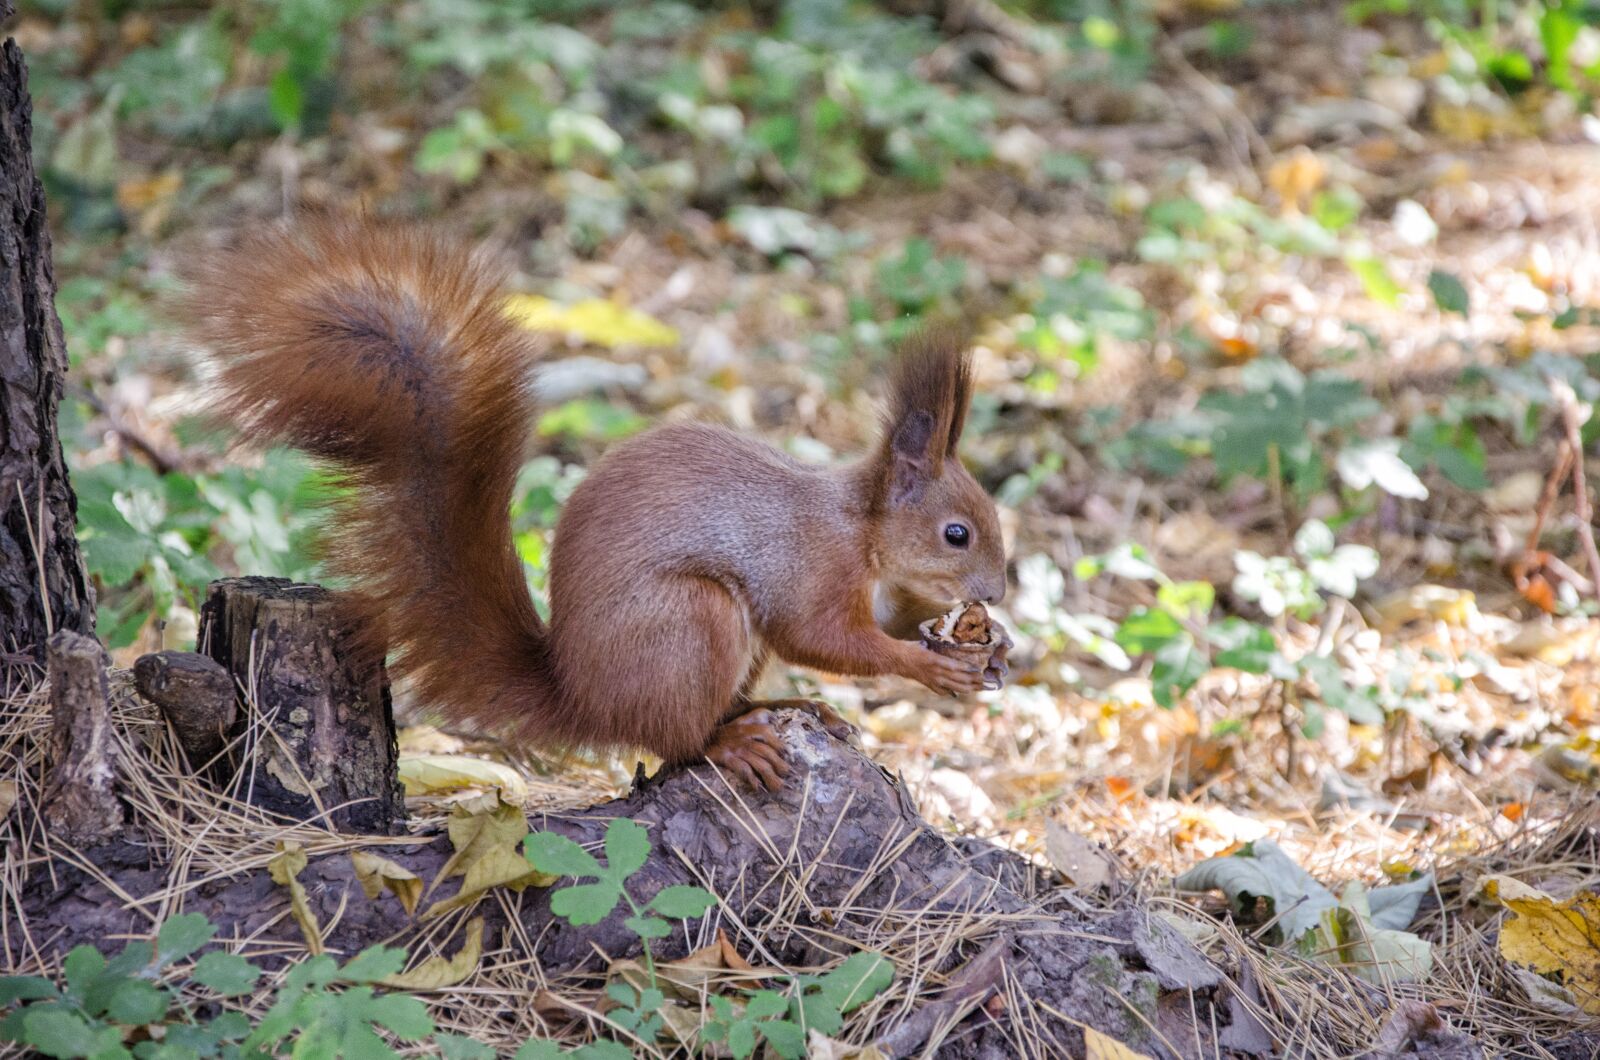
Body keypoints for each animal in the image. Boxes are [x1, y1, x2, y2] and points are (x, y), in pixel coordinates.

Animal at [185, 216, 1007, 791]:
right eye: (957, 533)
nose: (996, 593)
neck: (864, 532)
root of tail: (584, 697)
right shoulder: (813, 568)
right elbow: (825, 640)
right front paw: (930, 667)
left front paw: (975, 644)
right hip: (692, 622)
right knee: (678, 739)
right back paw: (733, 741)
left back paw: (783, 712)